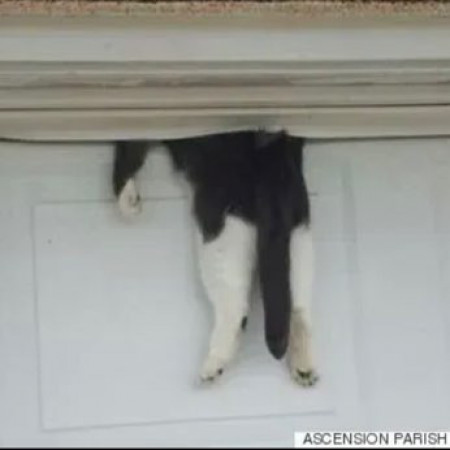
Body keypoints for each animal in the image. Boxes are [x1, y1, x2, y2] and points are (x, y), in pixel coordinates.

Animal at [113, 130, 318, 386]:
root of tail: (273, 157)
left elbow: (126, 153)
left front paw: (127, 200)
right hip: (299, 234)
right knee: (298, 306)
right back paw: (304, 367)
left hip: (221, 233)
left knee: (235, 308)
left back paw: (214, 364)